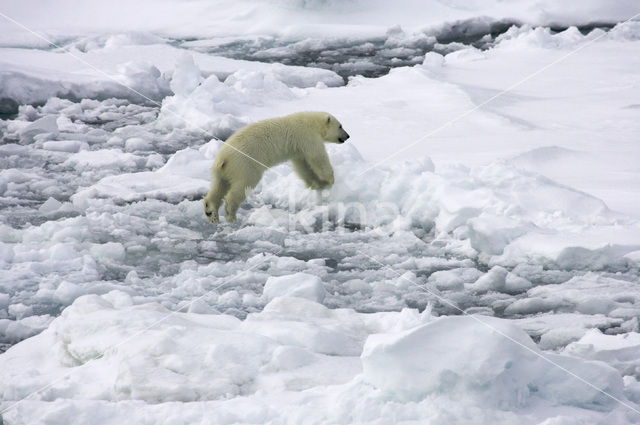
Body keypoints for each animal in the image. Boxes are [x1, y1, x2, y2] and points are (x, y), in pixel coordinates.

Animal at [202, 109, 350, 224]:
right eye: (340, 126)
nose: (348, 136)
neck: (311, 122)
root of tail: (223, 158)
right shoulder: (307, 137)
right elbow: (317, 157)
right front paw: (330, 180)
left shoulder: (298, 149)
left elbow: (302, 166)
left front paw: (317, 184)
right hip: (245, 164)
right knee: (242, 186)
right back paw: (230, 214)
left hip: (222, 170)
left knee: (219, 186)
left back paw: (211, 212)